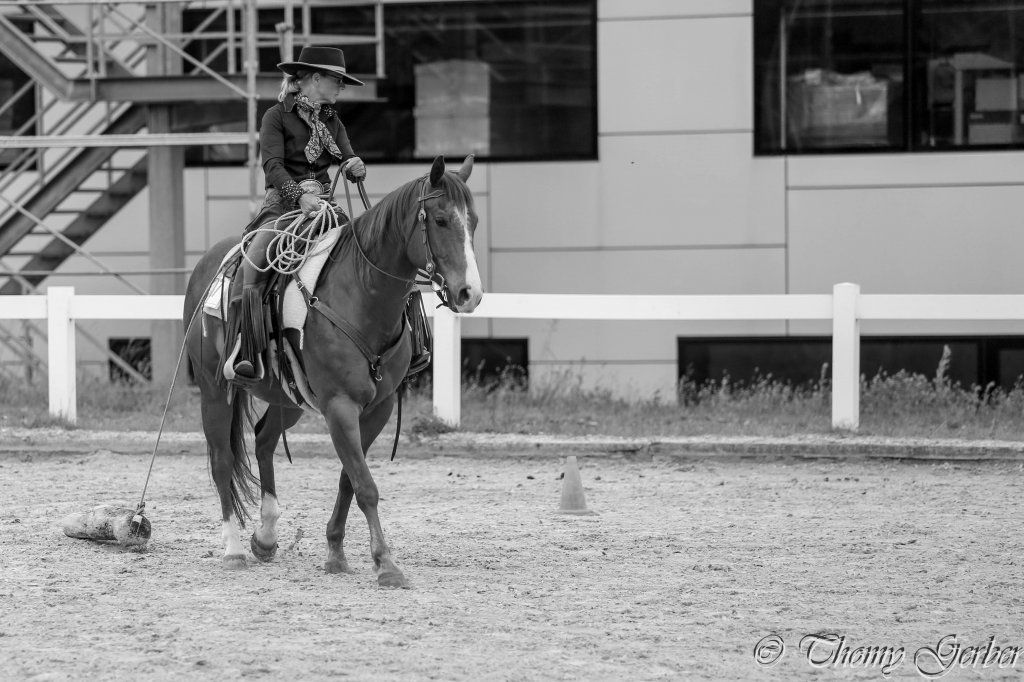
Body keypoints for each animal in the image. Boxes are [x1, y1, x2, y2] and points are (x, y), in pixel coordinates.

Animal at [183, 155, 482, 587]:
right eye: (441, 220)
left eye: (473, 222)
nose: (469, 294)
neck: (361, 295)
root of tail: (207, 266)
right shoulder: (340, 405)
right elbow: (365, 484)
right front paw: (386, 564)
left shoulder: (377, 408)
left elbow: (349, 478)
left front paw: (336, 552)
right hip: (213, 390)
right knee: (222, 459)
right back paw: (234, 550)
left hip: (288, 398)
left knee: (264, 440)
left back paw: (265, 537)